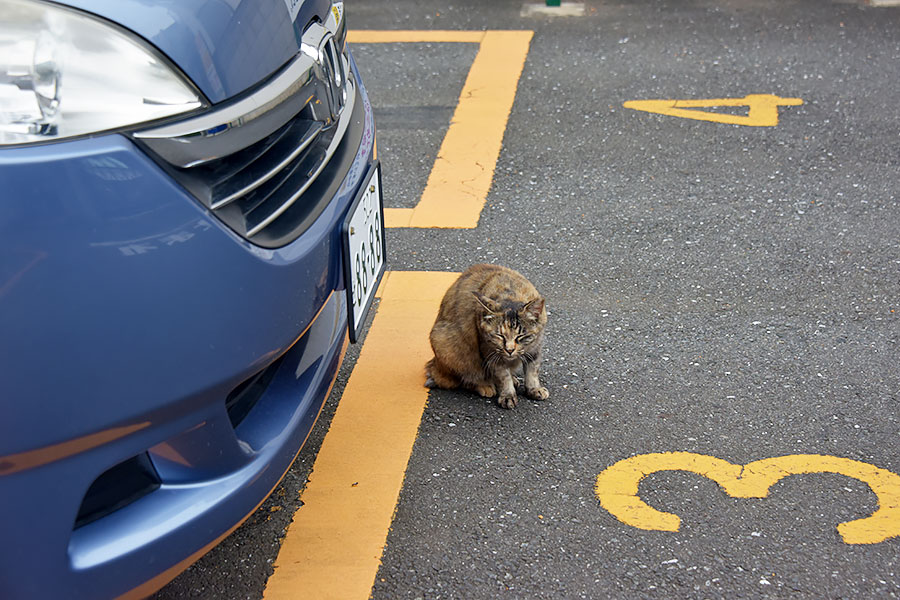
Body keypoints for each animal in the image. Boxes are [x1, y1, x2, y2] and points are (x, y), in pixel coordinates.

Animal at [428, 264, 548, 410]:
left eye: (521, 336)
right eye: (499, 335)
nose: (509, 350)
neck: (510, 293)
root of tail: (435, 367)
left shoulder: (535, 349)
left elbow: (532, 371)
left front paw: (534, 389)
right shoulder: (491, 352)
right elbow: (503, 376)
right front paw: (508, 395)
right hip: (449, 348)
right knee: (465, 379)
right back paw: (485, 385)